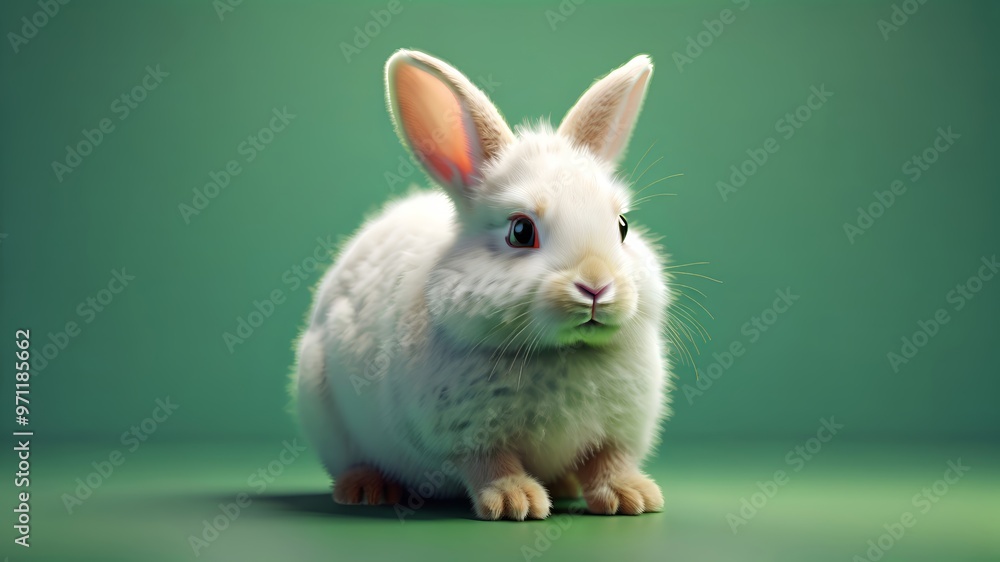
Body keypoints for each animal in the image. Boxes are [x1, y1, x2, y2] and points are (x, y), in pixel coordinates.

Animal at [292, 48, 672, 520]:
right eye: (521, 231)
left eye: (621, 226)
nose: (596, 286)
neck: (563, 352)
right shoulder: (465, 435)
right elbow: (492, 465)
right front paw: (515, 501)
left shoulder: (620, 430)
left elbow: (609, 460)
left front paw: (632, 497)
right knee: (352, 461)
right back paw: (366, 488)